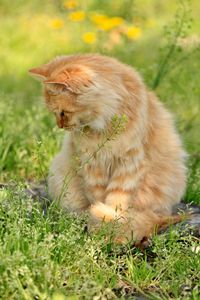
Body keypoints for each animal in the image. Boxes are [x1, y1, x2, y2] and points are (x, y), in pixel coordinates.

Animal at [28, 53, 187, 241]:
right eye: (54, 113)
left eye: (63, 113)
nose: (60, 126)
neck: (104, 127)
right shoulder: (92, 165)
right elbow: (98, 197)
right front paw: (102, 223)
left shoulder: (129, 164)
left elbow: (117, 201)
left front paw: (112, 223)